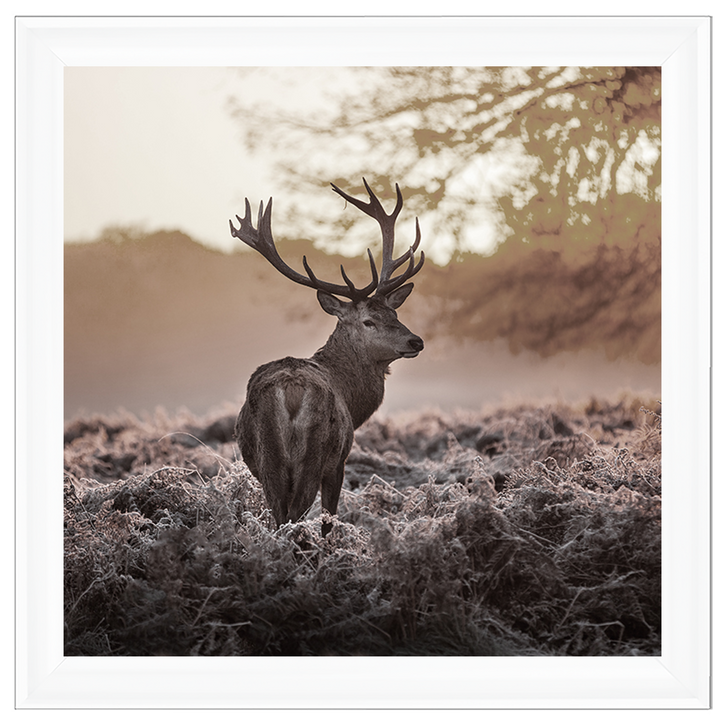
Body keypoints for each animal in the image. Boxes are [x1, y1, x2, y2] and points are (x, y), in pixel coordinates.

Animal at [230, 179, 425, 537]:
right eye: (368, 321)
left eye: (394, 313)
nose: (415, 340)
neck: (352, 399)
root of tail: (290, 390)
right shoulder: (339, 461)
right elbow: (328, 520)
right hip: (315, 453)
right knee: (295, 515)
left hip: (268, 459)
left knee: (279, 515)